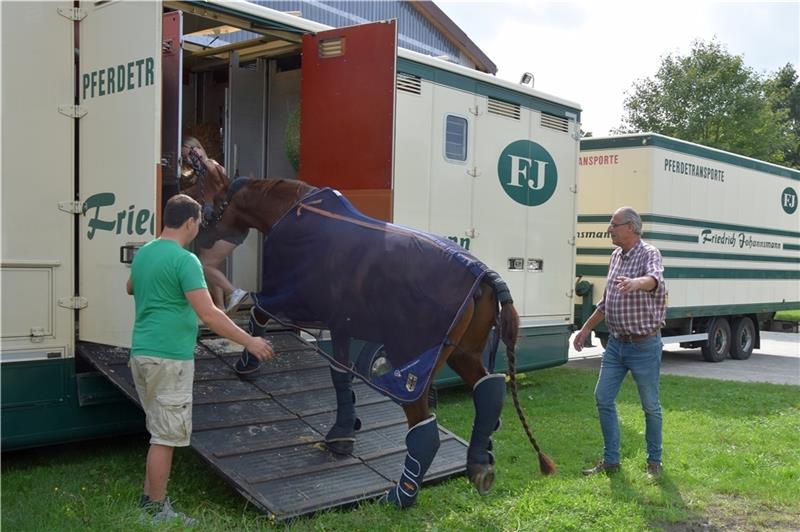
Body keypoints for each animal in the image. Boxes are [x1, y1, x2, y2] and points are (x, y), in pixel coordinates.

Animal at [212, 178, 552, 508]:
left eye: (221, 203)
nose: (212, 239)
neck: (296, 211)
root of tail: (484, 274)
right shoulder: (340, 325)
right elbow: (340, 374)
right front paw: (343, 432)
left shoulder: (294, 302)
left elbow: (258, 311)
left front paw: (247, 364)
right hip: (462, 353)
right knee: (488, 390)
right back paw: (480, 465)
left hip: (412, 368)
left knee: (424, 430)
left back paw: (401, 497)